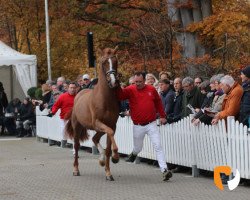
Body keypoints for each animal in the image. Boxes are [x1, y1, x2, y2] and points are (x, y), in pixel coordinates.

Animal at [64, 47, 119, 181]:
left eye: (116, 61)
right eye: (104, 62)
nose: (113, 81)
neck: (105, 99)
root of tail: (78, 93)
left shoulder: (112, 124)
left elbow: (108, 147)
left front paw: (108, 173)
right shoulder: (98, 122)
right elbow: (110, 134)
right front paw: (116, 157)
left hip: (97, 128)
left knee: (95, 138)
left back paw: (101, 160)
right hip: (78, 126)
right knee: (77, 146)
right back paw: (76, 170)